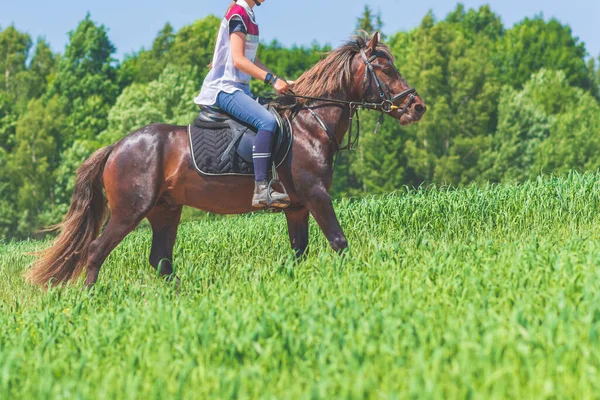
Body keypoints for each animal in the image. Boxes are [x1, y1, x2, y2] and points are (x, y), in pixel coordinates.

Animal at [27, 31, 426, 288]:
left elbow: (299, 252)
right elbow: (339, 242)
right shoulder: (316, 196)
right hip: (130, 211)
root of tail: (116, 147)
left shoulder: (297, 207)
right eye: (385, 69)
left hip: (165, 211)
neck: (311, 126)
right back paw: (89, 301)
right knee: (96, 252)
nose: (417, 107)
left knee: (161, 261)